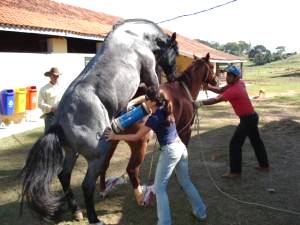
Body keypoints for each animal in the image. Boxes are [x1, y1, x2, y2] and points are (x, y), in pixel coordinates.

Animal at [20, 18, 178, 225]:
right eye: (175, 53)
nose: (174, 76)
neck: (136, 36)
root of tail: (60, 123)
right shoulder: (150, 75)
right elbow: (153, 93)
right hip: (97, 156)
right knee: (87, 185)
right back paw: (94, 218)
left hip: (72, 153)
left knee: (64, 175)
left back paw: (77, 211)